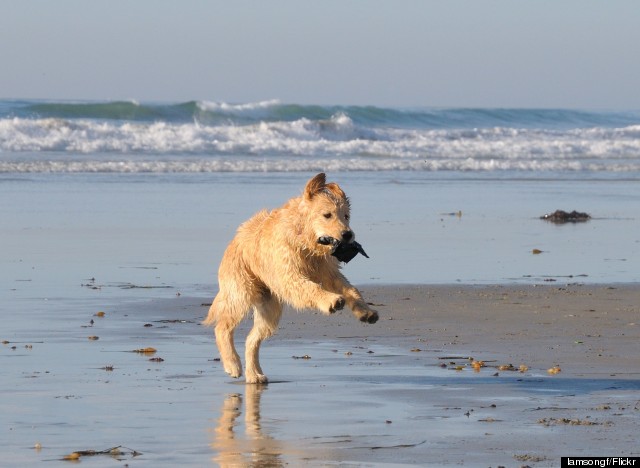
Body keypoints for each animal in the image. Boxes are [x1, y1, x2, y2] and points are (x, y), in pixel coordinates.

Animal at [202, 174, 378, 382]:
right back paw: (233, 365)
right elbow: (312, 288)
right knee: (223, 327)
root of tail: (232, 242)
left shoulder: (328, 272)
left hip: (269, 309)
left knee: (251, 339)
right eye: (327, 215)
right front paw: (331, 301)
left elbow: (350, 289)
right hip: (242, 292)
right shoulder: (290, 276)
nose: (348, 235)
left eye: (346, 216)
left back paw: (254, 375)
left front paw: (365, 311)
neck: (305, 240)